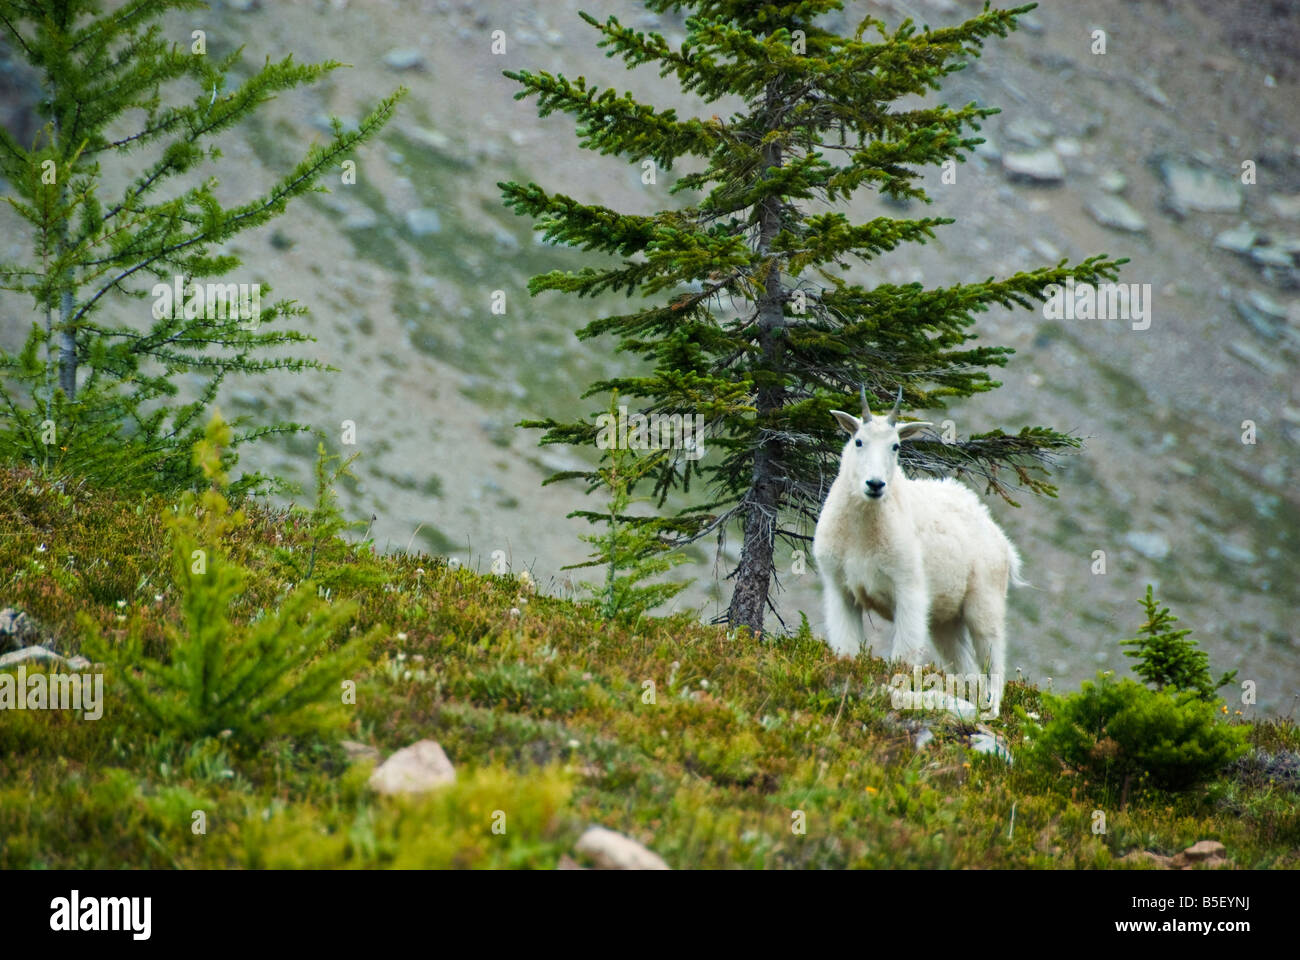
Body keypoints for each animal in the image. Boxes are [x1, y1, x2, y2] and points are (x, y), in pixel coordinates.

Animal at [811, 385, 1024, 712]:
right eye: (858, 441)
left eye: (896, 446)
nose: (875, 484)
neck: (864, 526)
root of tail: (1002, 541)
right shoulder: (841, 590)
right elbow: (847, 648)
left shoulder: (908, 587)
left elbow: (903, 655)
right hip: (945, 620)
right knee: (965, 666)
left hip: (985, 598)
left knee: (994, 657)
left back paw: (990, 711)